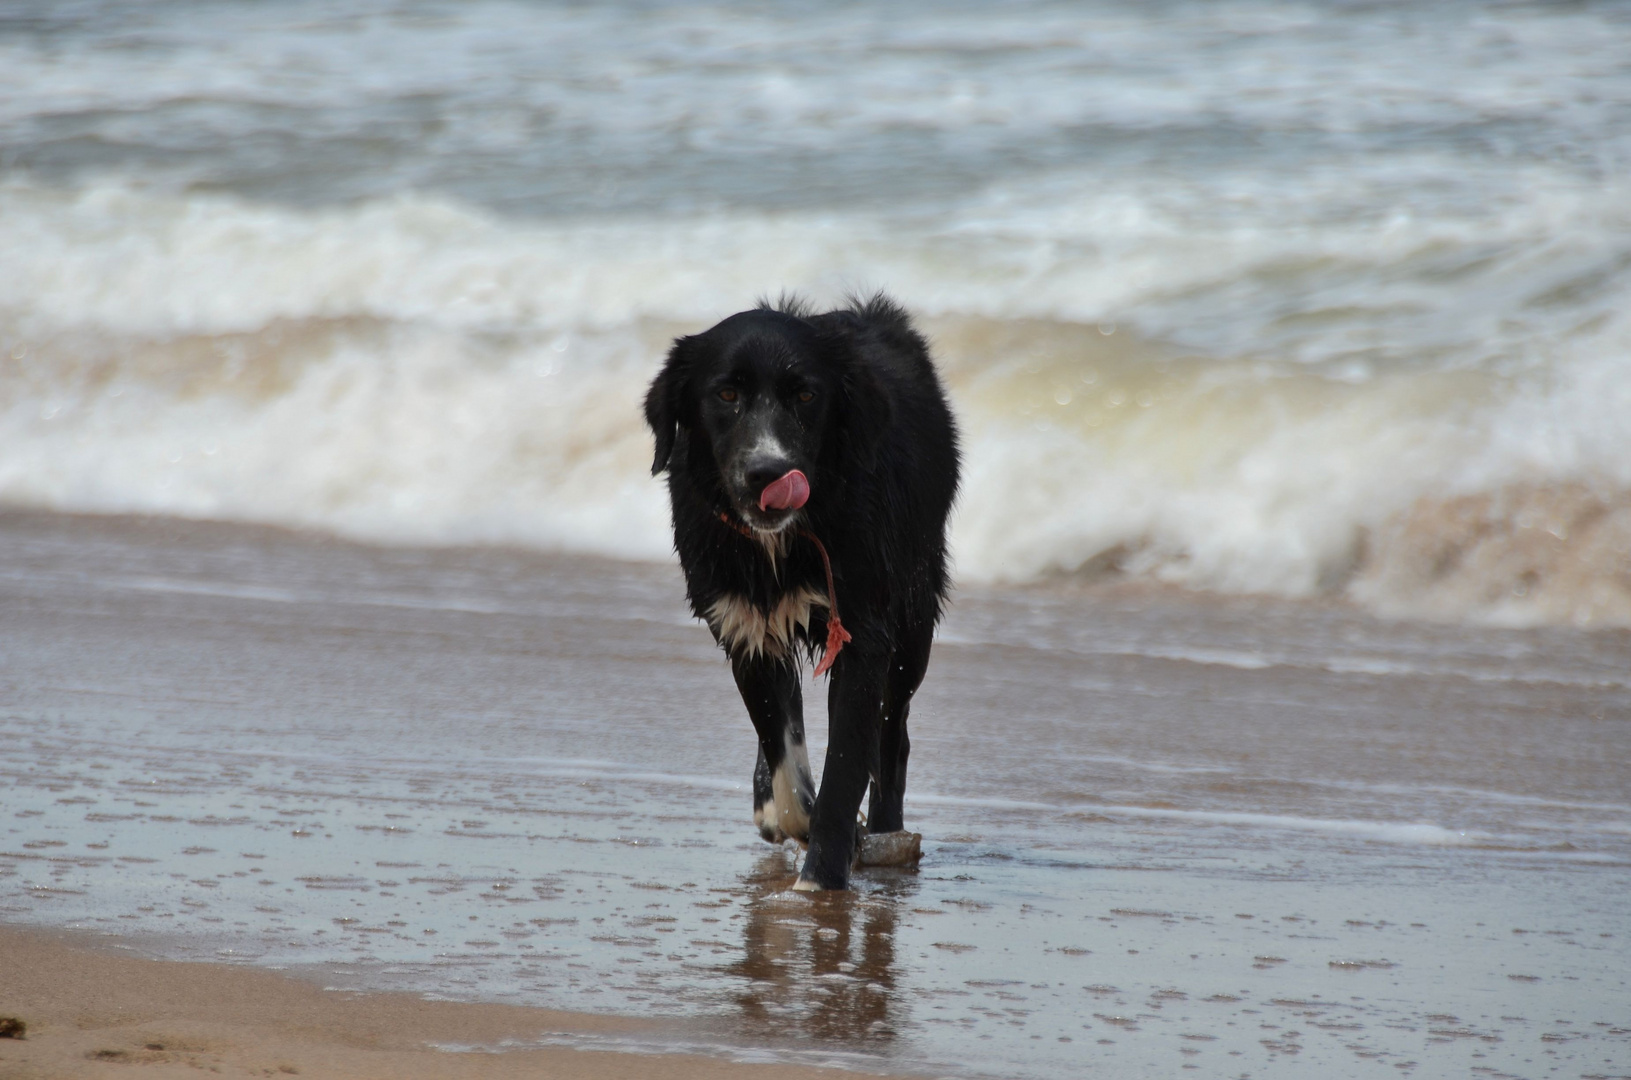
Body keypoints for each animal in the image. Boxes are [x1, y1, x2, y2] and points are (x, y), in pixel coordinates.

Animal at [642, 293, 959, 887]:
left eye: (807, 395)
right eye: (726, 394)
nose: (769, 474)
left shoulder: (863, 633)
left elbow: (845, 767)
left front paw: (820, 876)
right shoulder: (746, 627)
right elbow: (783, 754)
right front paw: (798, 822)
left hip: (914, 620)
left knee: (894, 736)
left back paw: (887, 834)